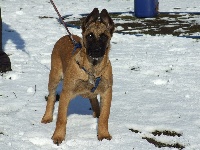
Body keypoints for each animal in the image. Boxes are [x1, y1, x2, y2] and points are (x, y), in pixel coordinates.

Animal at [41, 7, 114, 145]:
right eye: (89, 36)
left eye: (104, 37)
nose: (96, 50)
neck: (92, 69)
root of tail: (66, 36)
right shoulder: (66, 93)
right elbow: (61, 118)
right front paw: (58, 136)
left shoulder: (107, 92)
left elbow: (104, 116)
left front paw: (103, 134)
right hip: (54, 77)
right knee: (51, 97)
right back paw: (47, 117)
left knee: (93, 98)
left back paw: (97, 112)